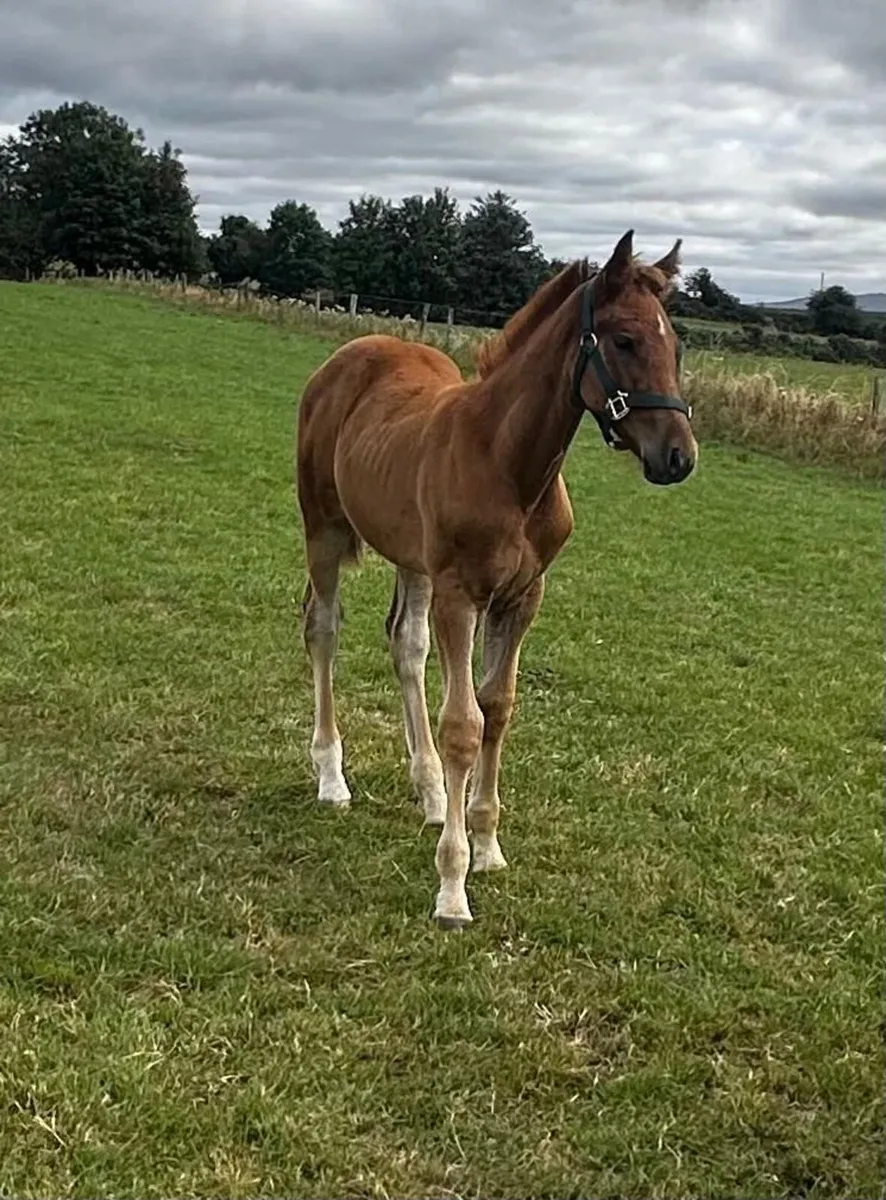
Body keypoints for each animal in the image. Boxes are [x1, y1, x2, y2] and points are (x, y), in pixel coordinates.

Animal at [295, 229, 697, 930]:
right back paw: (332, 777)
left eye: (675, 345)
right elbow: (464, 723)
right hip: (324, 529)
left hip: (413, 558)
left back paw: (431, 792)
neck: (510, 464)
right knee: (323, 629)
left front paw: (485, 844)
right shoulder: (462, 595)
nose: (678, 456)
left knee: (406, 644)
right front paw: (452, 888)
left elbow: (497, 709)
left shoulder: (522, 597)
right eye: (623, 340)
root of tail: (348, 354)